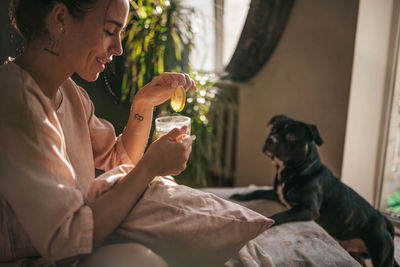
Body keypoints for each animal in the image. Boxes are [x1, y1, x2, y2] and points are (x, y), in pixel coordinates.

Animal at [230, 115, 398, 267]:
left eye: (290, 136)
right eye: (273, 130)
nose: (271, 139)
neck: (296, 170)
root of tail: (384, 221)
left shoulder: (308, 209)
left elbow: (281, 215)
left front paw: (267, 222)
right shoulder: (278, 194)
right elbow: (257, 192)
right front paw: (240, 195)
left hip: (380, 253)